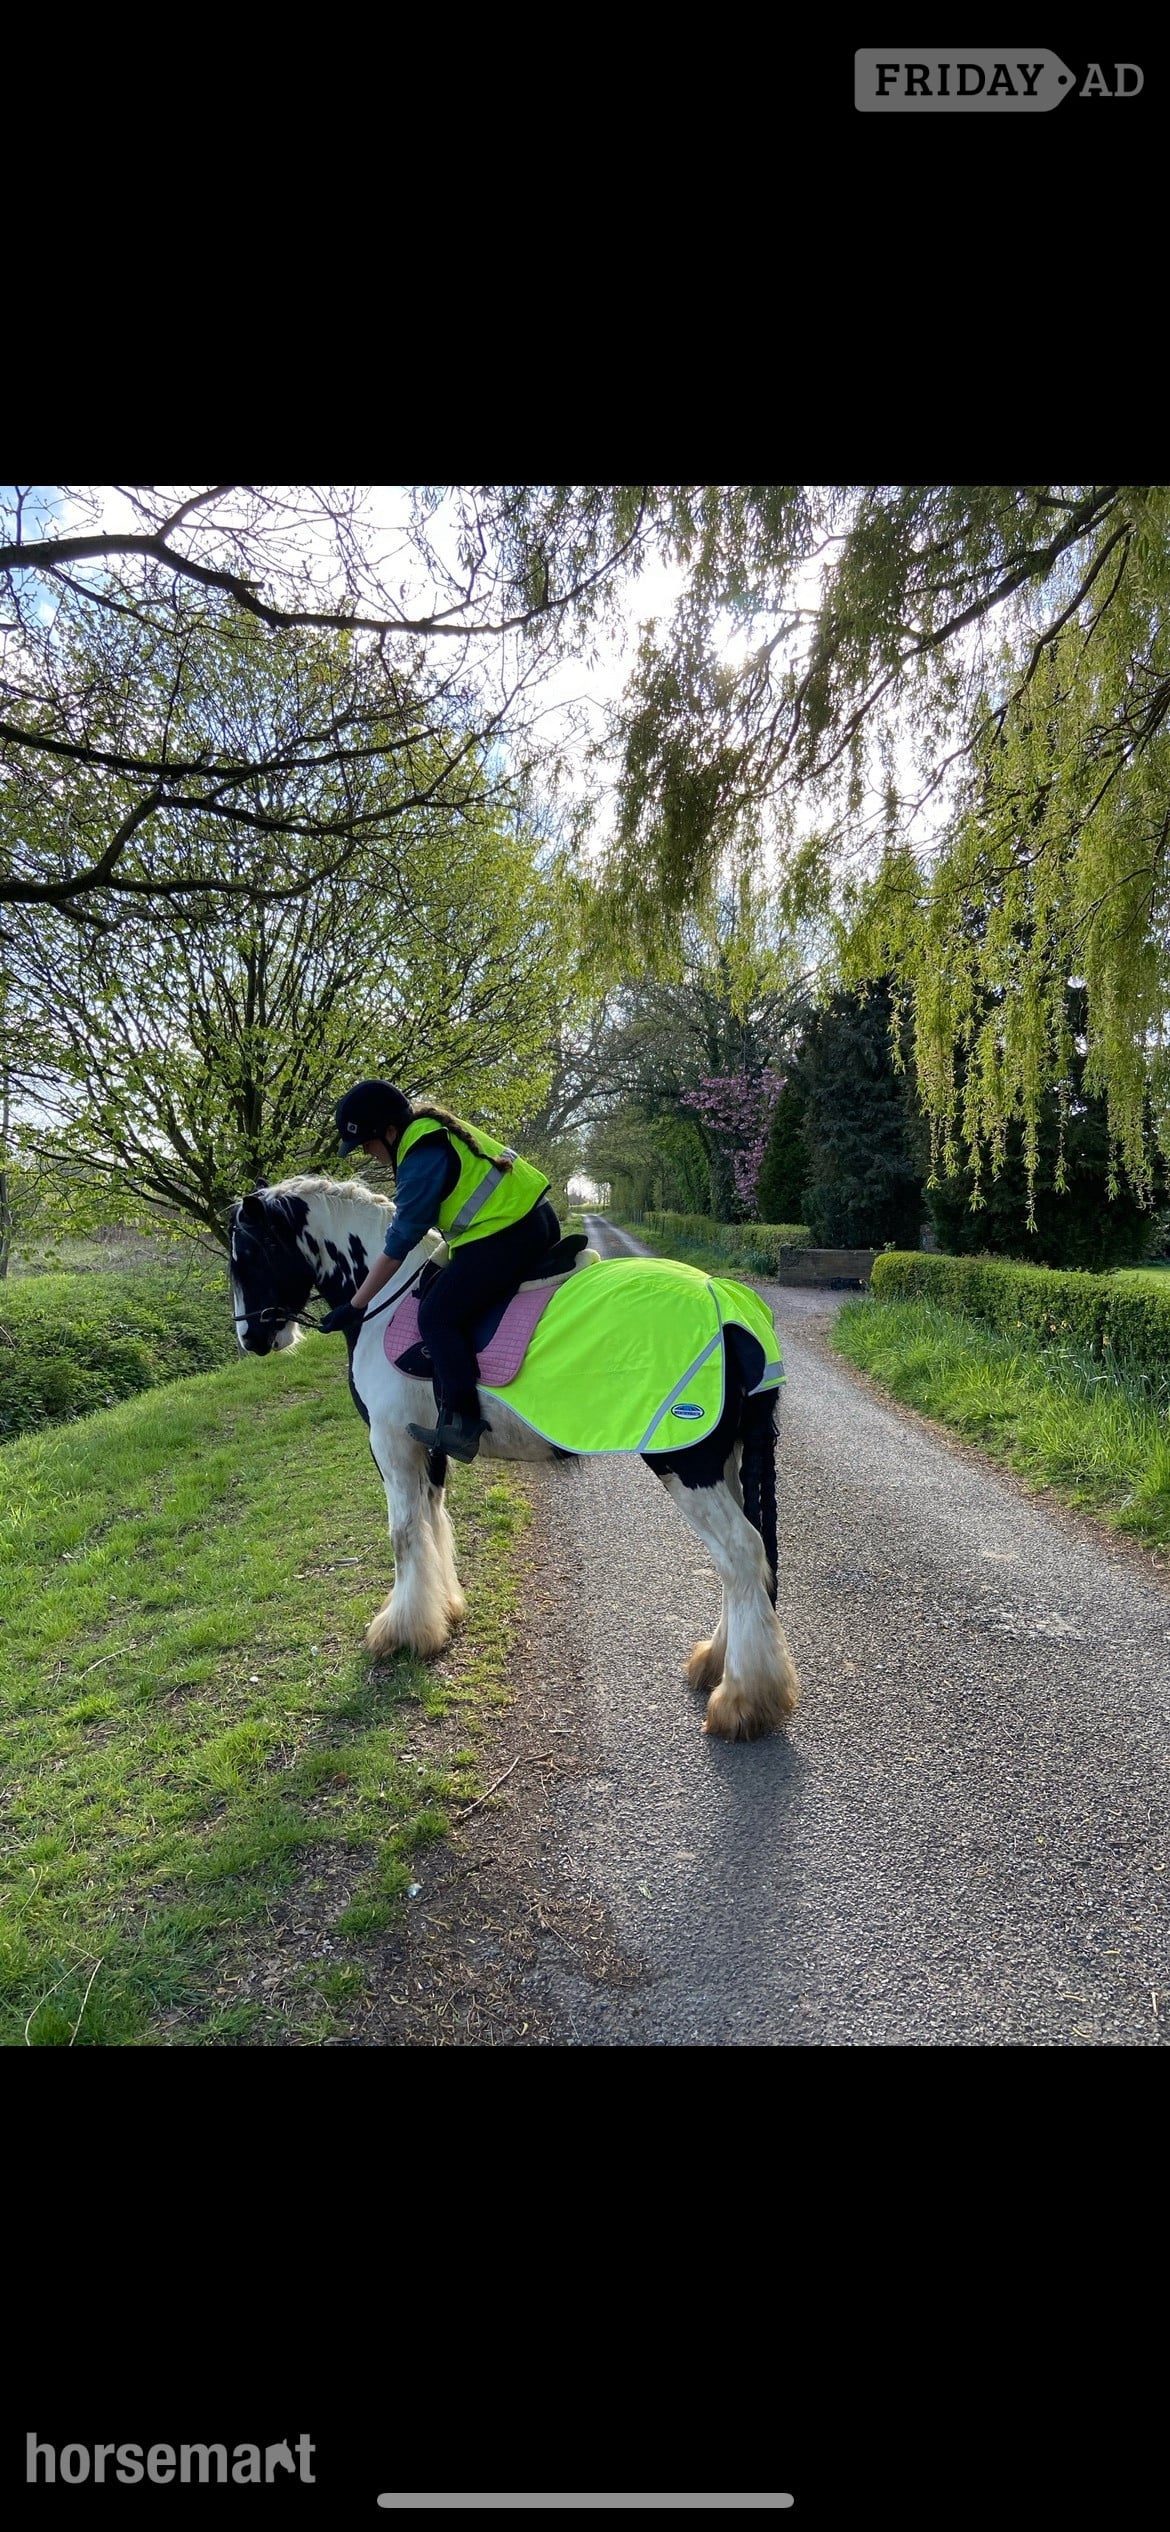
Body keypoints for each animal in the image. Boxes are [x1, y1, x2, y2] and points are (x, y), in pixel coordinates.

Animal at [228, 1174, 800, 1741]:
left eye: (248, 1253)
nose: (251, 1336)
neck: (386, 1301)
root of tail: (732, 1308)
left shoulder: (392, 1444)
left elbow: (404, 1534)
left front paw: (404, 1632)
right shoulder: (429, 1446)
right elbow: (433, 1521)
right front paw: (444, 1610)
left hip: (687, 1464)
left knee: (741, 1553)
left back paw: (743, 1700)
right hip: (724, 1461)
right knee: (744, 1560)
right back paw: (717, 1662)